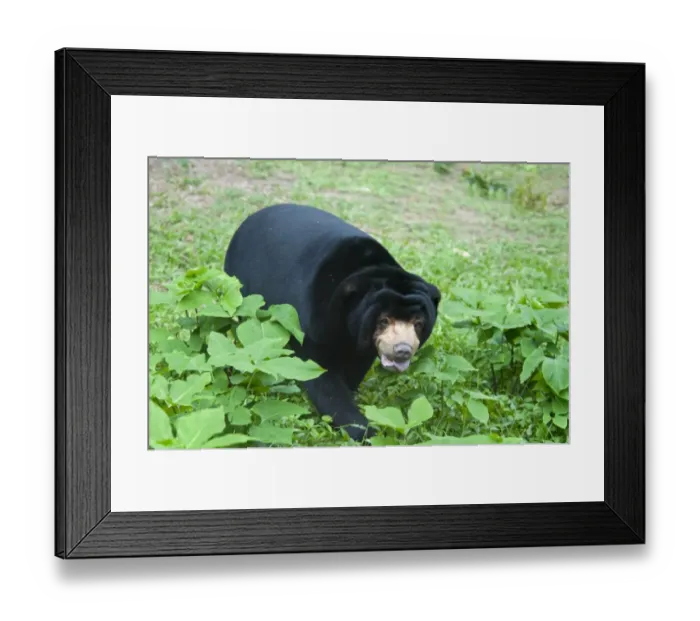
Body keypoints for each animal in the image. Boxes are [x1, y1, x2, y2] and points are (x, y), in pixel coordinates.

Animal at [223, 203, 441, 443]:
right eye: (383, 320)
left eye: (418, 323)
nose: (402, 350)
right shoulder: (312, 321)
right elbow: (322, 377)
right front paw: (366, 431)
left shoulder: (360, 343)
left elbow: (356, 364)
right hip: (240, 285)